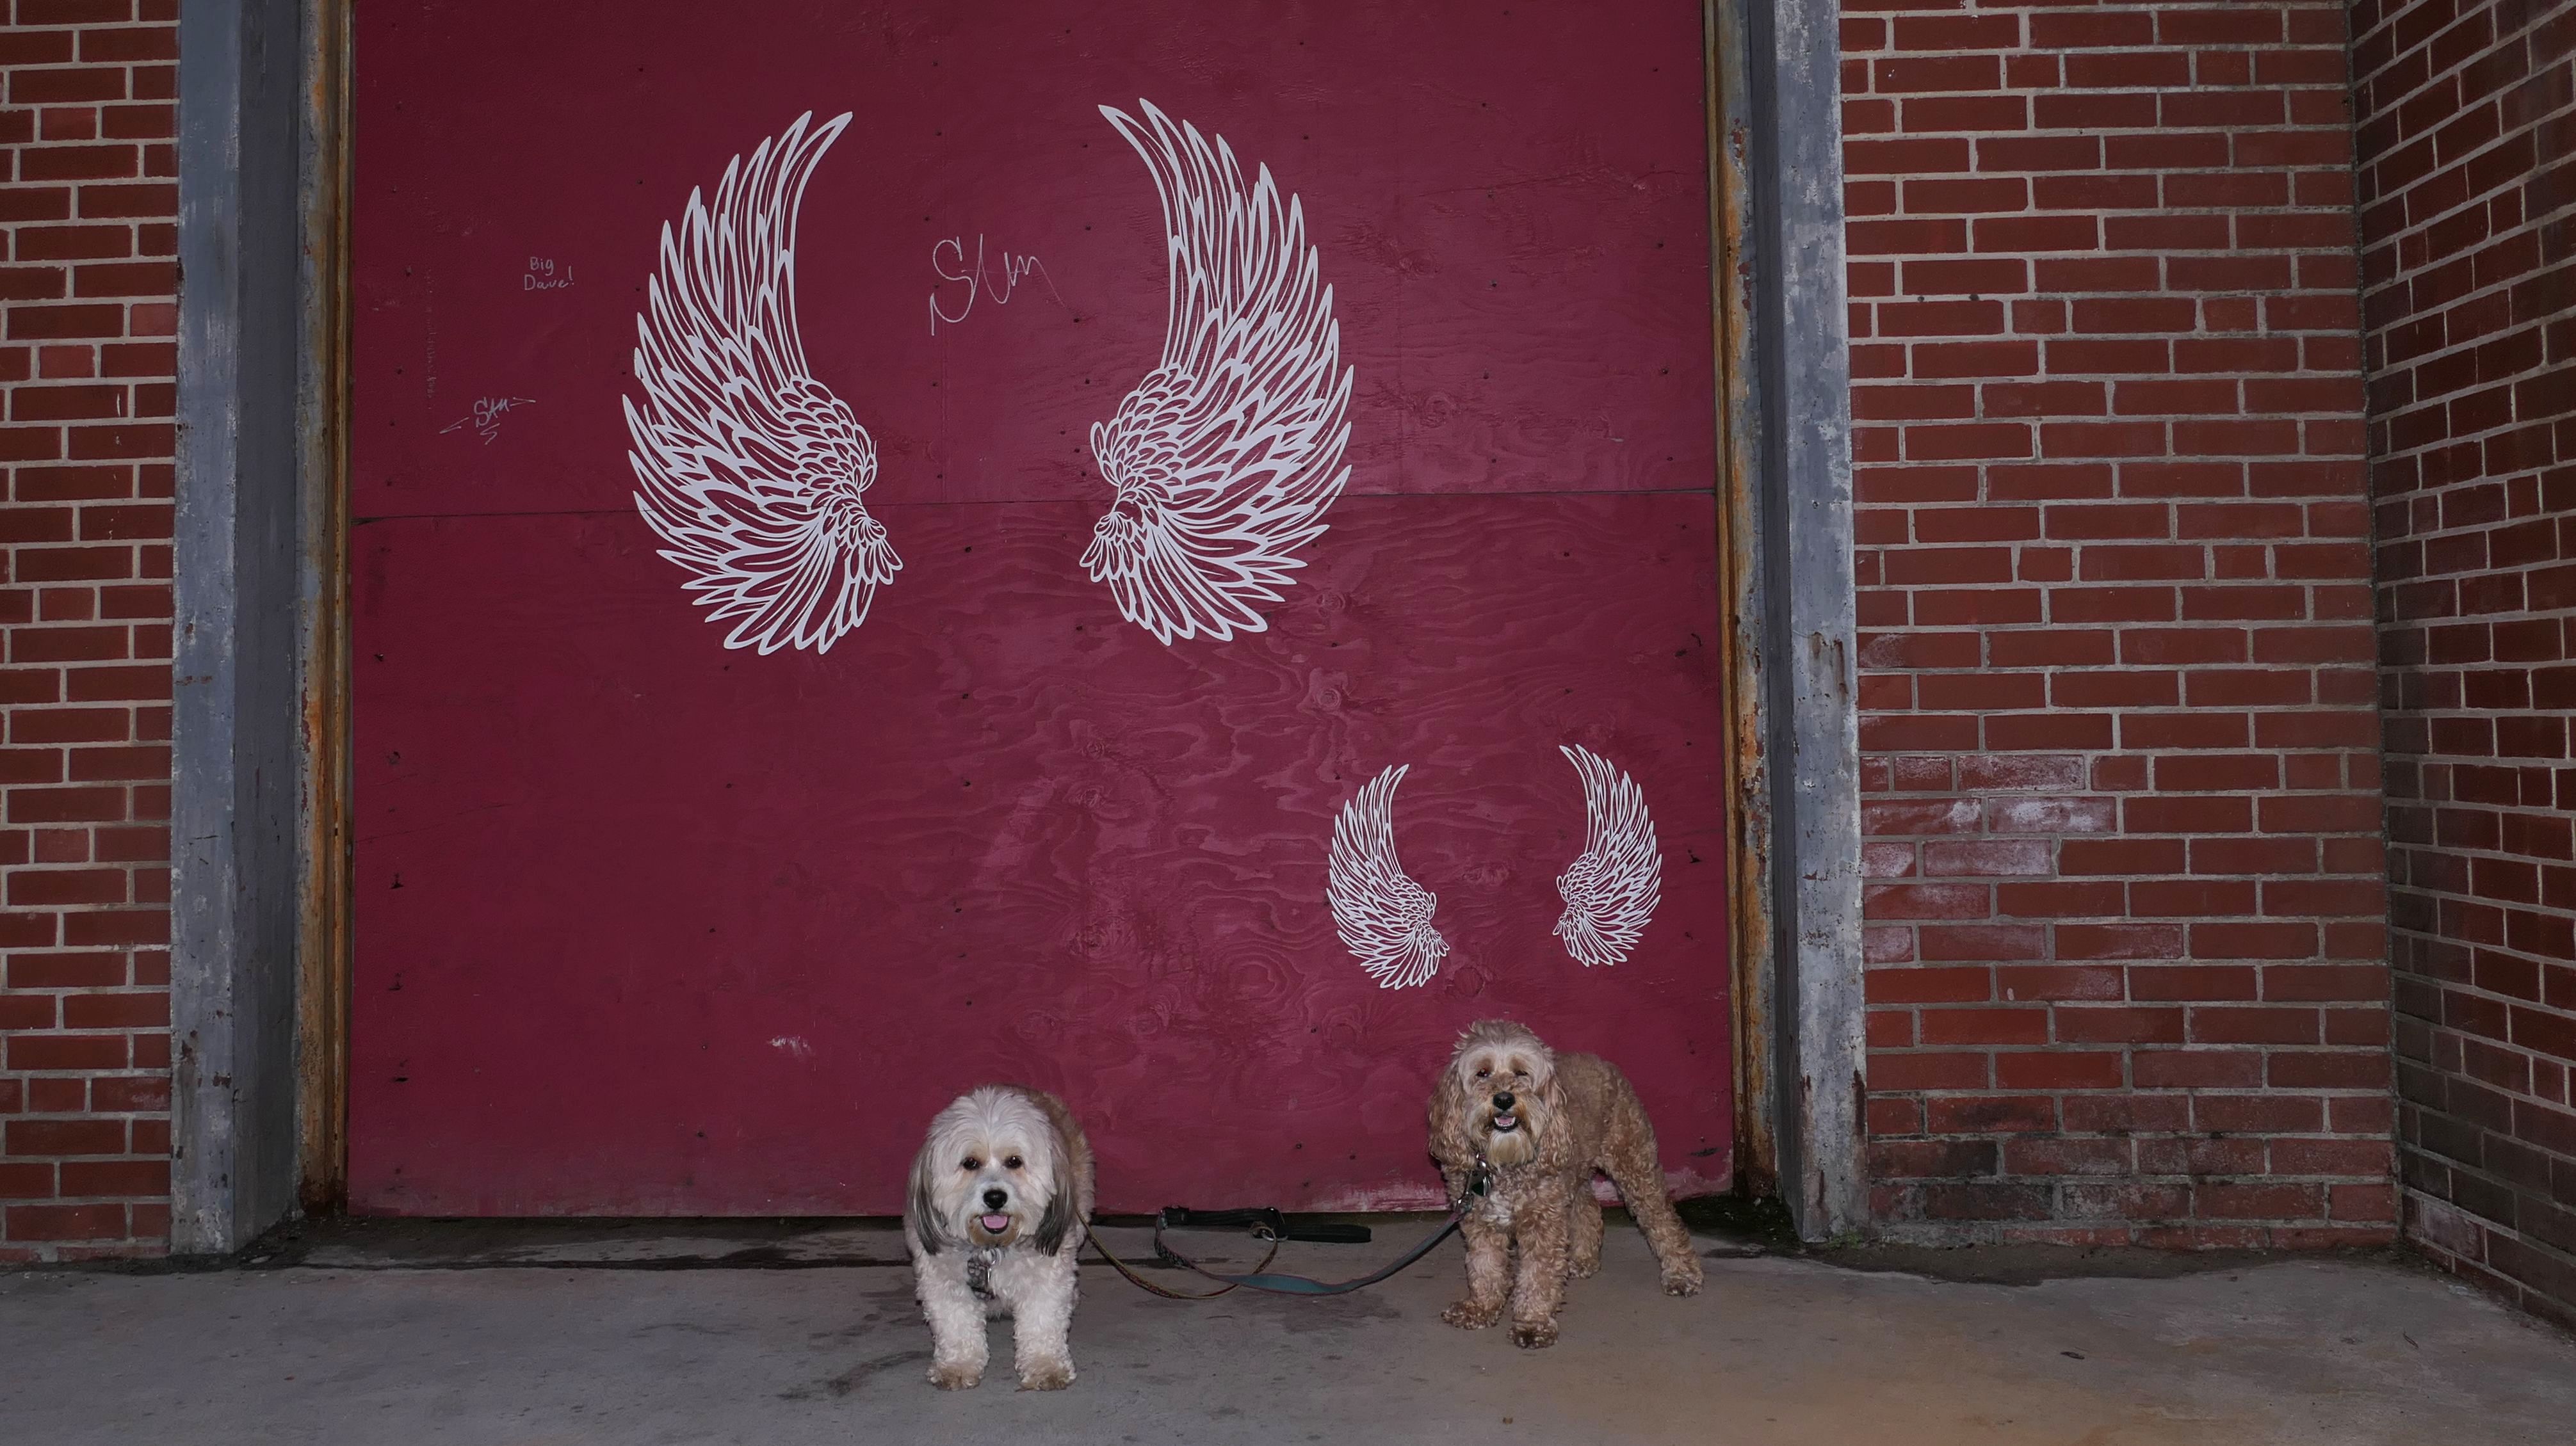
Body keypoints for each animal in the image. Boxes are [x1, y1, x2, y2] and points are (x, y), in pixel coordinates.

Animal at [904, 1085, 1095, 1390]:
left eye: (1014, 1161)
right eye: (970, 1163)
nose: (995, 1197)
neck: (991, 1247)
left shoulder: (1046, 1278)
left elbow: (1042, 1322)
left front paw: (1045, 1366)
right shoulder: (943, 1283)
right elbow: (956, 1326)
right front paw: (958, 1366)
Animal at [1427, 1019, 1704, 1348]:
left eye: (1521, 1073)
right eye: (1482, 1073)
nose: (1504, 1099)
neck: (1504, 1162)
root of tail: (1605, 1064)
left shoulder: (1543, 1223)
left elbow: (1537, 1276)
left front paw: (1532, 1323)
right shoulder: (1480, 1221)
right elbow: (1485, 1267)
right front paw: (1481, 1308)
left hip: (1635, 1166)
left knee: (1662, 1219)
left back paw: (1682, 1274)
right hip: (1574, 1176)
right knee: (1588, 1208)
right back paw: (1584, 1258)